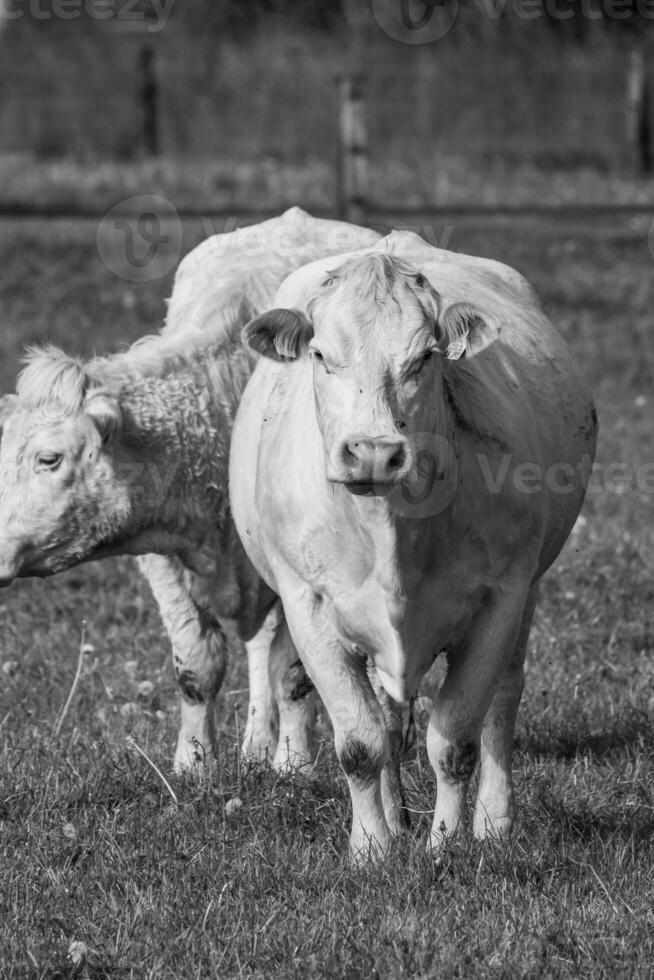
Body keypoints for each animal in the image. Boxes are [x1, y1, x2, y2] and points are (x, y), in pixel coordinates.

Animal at [0, 209, 380, 772]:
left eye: (49, 459)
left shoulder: (301, 567)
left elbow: (294, 673)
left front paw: (293, 764)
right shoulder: (163, 559)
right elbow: (198, 667)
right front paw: (194, 763)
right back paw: (254, 743)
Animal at [231, 230, 600, 856]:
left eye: (424, 356)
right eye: (320, 355)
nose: (374, 452)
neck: (392, 531)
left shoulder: (501, 597)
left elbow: (455, 740)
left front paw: (447, 844)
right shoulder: (307, 603)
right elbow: (360, 743)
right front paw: (372, 849)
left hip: (528, 590)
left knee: (504, 698)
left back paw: (493, 822)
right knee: (384, 721)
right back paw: (395, 816)